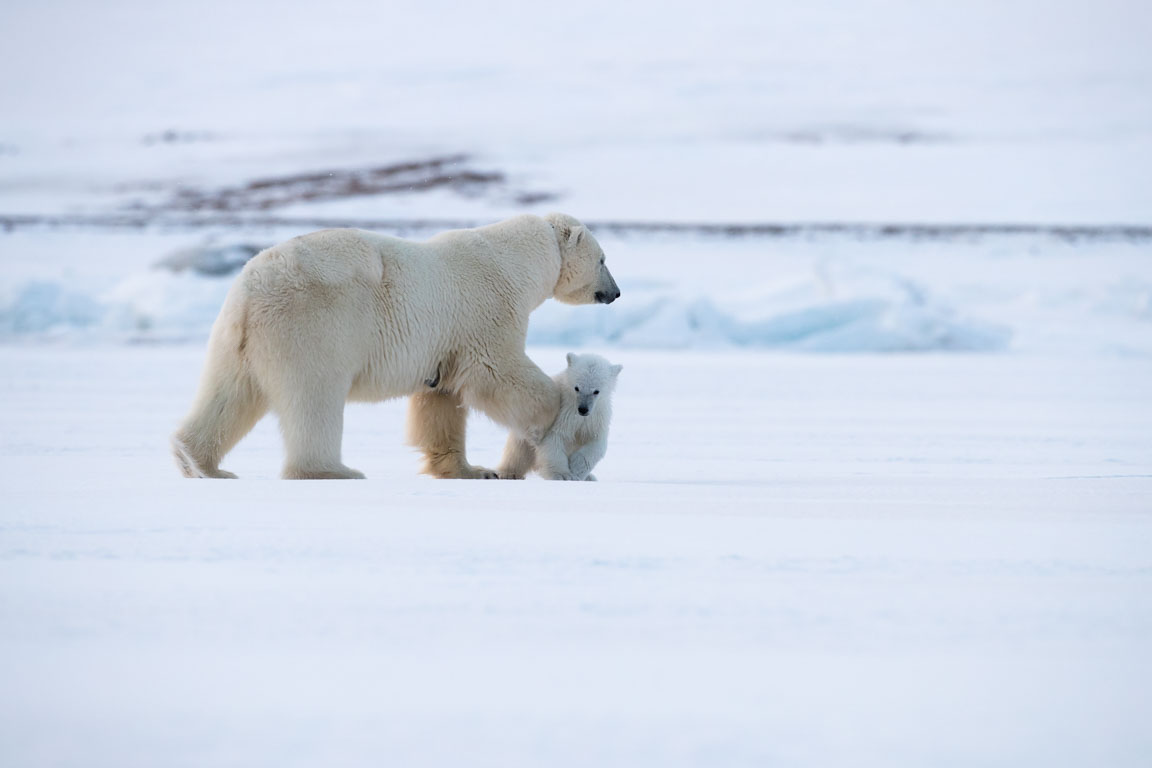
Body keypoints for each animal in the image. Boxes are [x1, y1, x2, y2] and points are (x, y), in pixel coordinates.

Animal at [495, 352, 622, 481]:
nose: (583, 409)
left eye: (596, 391)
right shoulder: (562, 413)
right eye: (577, 388)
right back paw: (508, 473)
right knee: (518, 451)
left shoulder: (596, 417)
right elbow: (554, 438)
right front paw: (563, 475)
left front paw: (576, 470)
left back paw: (590, 477)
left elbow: (595, 442)